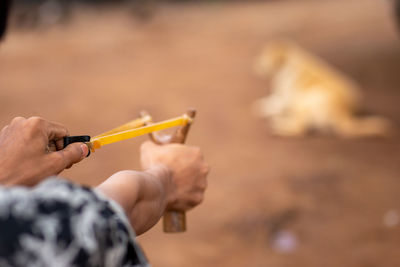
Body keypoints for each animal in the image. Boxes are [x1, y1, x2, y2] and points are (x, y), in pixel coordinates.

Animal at [253, 41, 390, 139]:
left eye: (262, 57)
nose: (254, 65)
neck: (290, 60)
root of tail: (344, 113)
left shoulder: (284, 97)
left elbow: (273, 103)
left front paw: (260, 108)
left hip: (305, 102)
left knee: (300, 128)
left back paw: (279, 125)